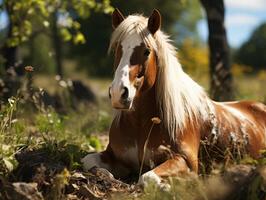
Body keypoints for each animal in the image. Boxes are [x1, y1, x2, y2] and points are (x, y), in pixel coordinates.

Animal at [81, 8, 266, 186]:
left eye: (146, 51)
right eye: (117, 49)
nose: (118, 93)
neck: (141, 124)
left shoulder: (186, 161)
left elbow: (148, 177)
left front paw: (168, 186)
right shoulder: (112, 154)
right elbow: (87, 161)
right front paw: (106, 175)